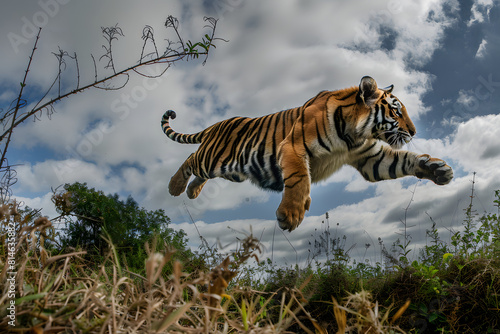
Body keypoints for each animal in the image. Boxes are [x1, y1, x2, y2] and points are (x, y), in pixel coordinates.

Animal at [162, 75, 456, 232]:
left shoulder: (372, 159)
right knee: (190, 160)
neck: (355, 135)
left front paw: (438, 170)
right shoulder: (293, 148)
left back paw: (192, 192)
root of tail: (216, 124)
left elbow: (406, 161)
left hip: (232, 170)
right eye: (396, 112)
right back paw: (175, 187)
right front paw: (291, 214)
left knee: (200, 173)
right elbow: (299, 178)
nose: (414, 132)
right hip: (214, 157)